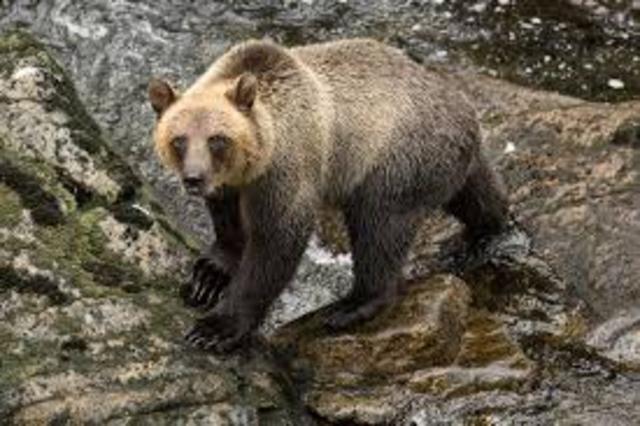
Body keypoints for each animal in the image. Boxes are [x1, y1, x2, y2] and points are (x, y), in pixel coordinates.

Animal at [148, 38, 509, 352]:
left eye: (217, 139)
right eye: (179, 140)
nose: (194, 179)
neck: (256, 160)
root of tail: (466, 113)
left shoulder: (287, 170)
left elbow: (275, 244)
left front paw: (215, 328)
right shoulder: (233, 185)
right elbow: (228, 223)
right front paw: (208, 277)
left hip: (396, 159)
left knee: (379, 227)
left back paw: (351, 305)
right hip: (446, 162)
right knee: (476, 195)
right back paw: (490, 229)